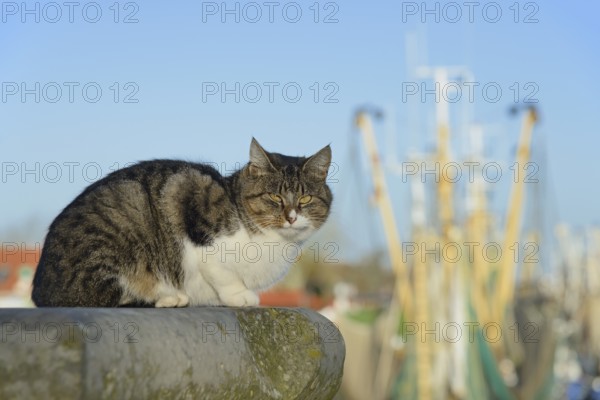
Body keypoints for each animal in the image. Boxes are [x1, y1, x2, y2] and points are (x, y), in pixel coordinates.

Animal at [31, 139, 332, 308]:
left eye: (305, 198)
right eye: (274, 196)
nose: (291, 216)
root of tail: (40, 291)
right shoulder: (190, 197)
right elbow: (221, 271)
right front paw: (239, 296)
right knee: (104, 297)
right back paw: (168, 297)